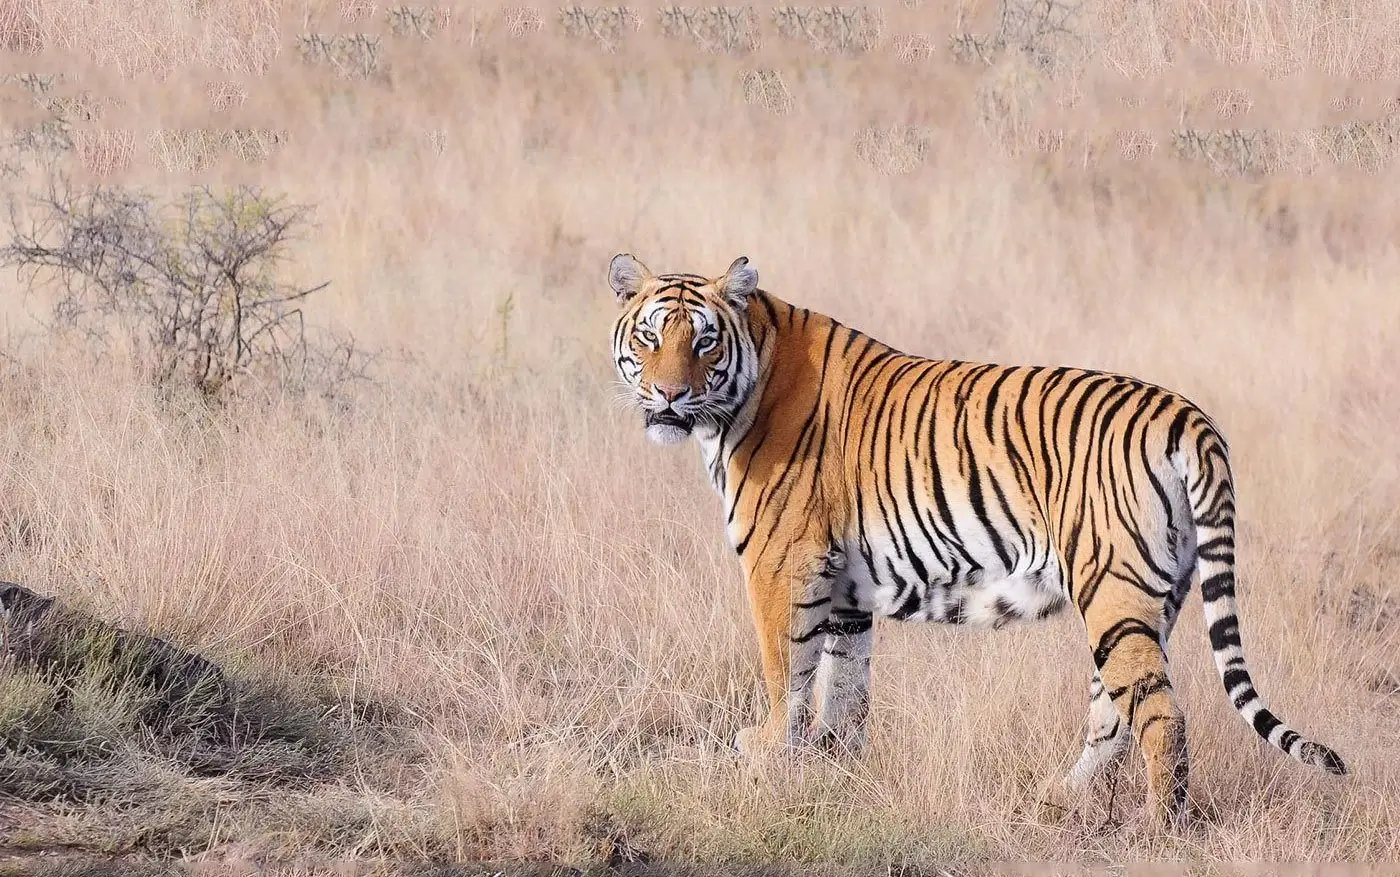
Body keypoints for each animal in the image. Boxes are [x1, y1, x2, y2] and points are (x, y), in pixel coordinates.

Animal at [607, 250, 1349, 823]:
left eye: (703, 341)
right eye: (650, 338)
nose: (669, 396)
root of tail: (1187, 414)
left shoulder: (781, 564)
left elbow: (784, 668)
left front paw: (764, 754)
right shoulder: (844, 588)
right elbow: (844, 689)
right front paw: (834, 771)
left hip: (1113, 588)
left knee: (1161, 712)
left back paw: (1159, 826)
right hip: (1153, 595)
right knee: (1113, 710)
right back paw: (1061, 796)